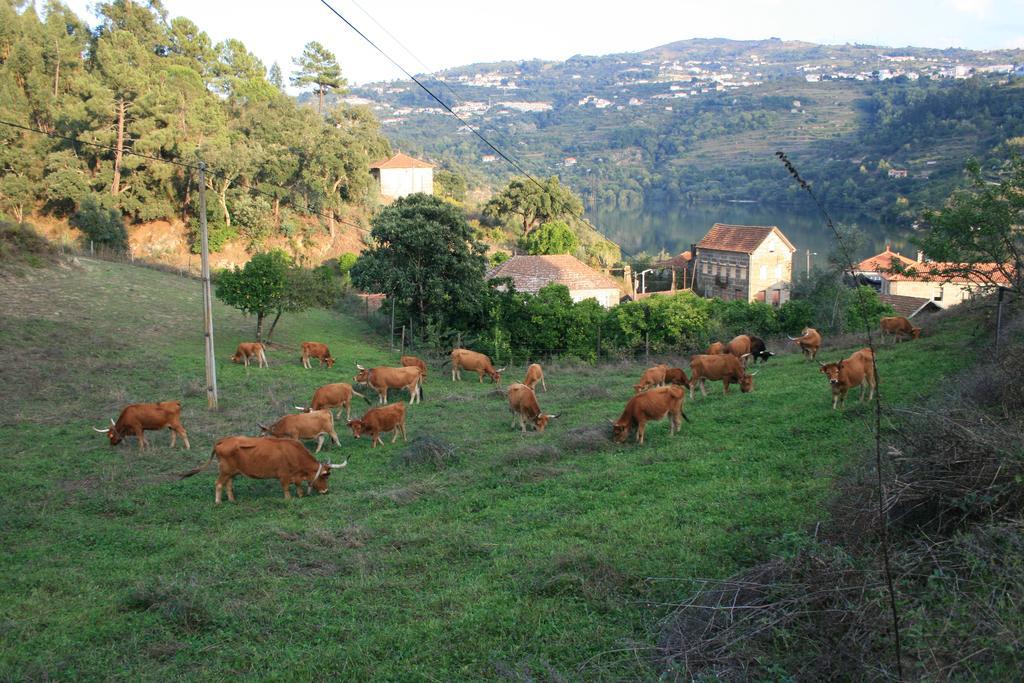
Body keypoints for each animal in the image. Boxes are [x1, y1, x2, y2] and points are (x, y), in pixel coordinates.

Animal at [181, 438, 348, 501]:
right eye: (325, 475)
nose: (326, 491)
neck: (294, 453)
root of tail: (223, 440)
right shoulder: (284, 475)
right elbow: (286, 487)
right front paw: (288, 499)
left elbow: (298, 485)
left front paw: (300, 495)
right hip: (225, 471)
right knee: (218, 484)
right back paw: (218, 502)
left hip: (232, 473)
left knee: (228, 485)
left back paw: (232, 500)